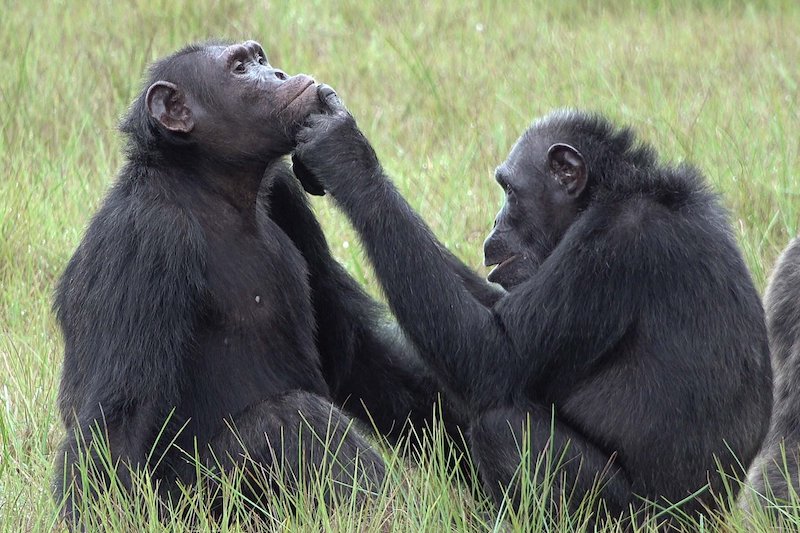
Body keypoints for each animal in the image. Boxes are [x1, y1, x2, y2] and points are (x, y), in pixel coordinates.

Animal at [51, 40, 462, 524]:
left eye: (259, 58)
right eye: (240, 68)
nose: (278, 74)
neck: (211, 186)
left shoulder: (287, 194)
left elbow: (353, 352)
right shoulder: (146, 238)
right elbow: (118, 419)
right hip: (192, 508)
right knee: (291, 419)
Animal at [294, 89, 776, 520]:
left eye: (509, 190)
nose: (495, 221)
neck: (609, 194)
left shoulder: (613, 249)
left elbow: (494, 355)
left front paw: (344, 155)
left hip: (630, 519)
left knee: (501, 427)